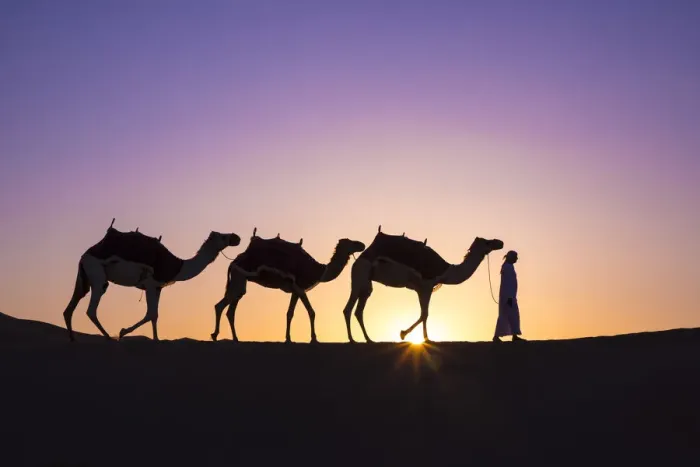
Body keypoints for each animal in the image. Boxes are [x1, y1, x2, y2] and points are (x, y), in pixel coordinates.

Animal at [62, 218, 241, 342]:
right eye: (223, 236)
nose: (236, 237)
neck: (178, 266)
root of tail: (86, 254)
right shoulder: (150, 283)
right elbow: (150, 313)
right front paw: (122, 332)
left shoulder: (158, 287)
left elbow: (155, 315)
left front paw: (156, 339)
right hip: (97, 272)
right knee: (91, 309)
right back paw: (108, 337)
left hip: (85, 275)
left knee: (73, 304)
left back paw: (72, 338)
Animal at [211, 228, 366, 343]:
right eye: (351, 242)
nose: (362, 244)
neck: (320, 270)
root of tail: (233, 262)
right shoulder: (300, 288)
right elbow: (311, 312)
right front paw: (314, 339)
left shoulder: (295, 290)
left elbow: (290, 313)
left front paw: (288, 338)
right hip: (239, 276)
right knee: (221, 305)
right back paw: (215, 335)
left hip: (240, 280)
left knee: (231, 309)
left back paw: (235, 338)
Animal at [342, 225, 504, 343]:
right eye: (488, 242)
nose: (500, 242)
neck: (445, 270)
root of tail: (360, 257)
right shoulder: (426, 286)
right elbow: (425, 314)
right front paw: (405, 334)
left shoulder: (422, 288)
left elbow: (424, 314)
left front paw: (423, 338)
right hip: (360, 274)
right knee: (349, 308)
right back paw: (352, 339)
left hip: (366, 282)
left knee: (358, 310)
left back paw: (368, 339)